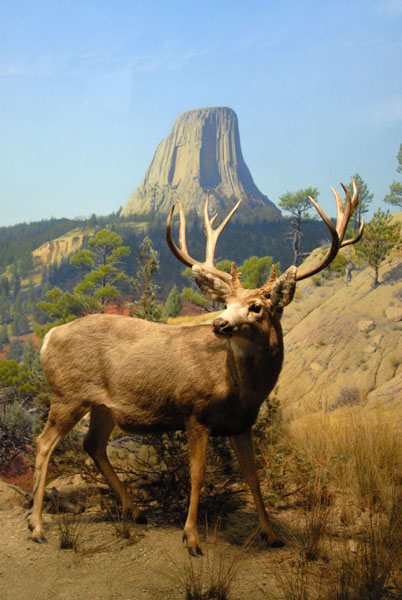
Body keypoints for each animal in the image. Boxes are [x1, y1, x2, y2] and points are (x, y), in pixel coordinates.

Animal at [27, 178, 362, 552]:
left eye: (257, 307)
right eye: (226, 302)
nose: (220, 324)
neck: (240, 390)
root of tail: (48, 337)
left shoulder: (242, 424)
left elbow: (253, 476)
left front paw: (271, 533)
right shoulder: (195, 412)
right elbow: (198, 474)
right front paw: (191, 537)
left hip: (103, 406)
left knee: (93, 445)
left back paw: (135, 511)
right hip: (67, 394)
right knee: (43, 443)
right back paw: (37, 526)